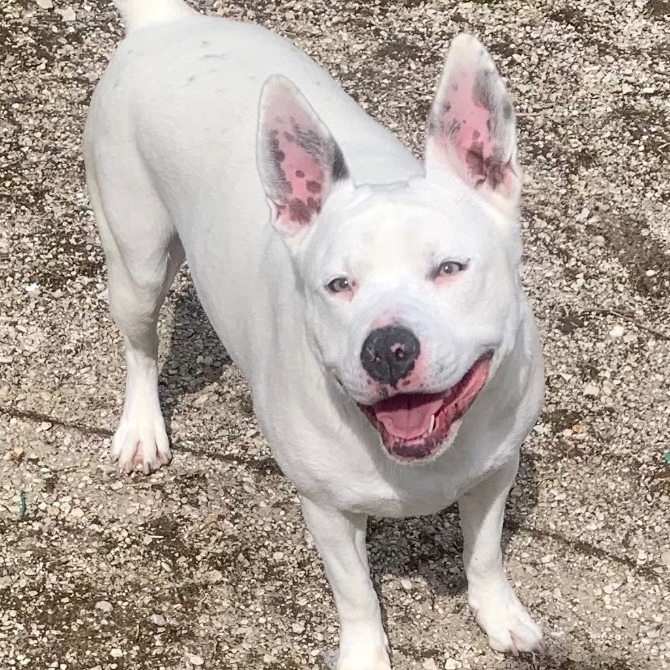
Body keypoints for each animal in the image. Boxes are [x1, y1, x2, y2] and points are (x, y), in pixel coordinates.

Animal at [85, 2, 544, 668]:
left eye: (450, 268)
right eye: (338, 284)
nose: (388, 348)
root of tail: (164, 24)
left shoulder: (495, 471)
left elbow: (483, 554)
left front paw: (500, 616)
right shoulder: (326, 509)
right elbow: (356, 596)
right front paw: (366, 655)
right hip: (137, 261)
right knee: (140, 346)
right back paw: (142, 428)